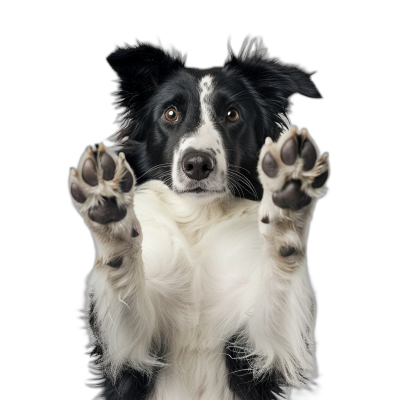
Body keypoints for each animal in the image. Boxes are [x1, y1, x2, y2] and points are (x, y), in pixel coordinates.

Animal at [70, 38, 330, 400]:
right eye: (170, 113)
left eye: (232, 114)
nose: (197, 164)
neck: (198, 218)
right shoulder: (130, 356)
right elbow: (126, 289)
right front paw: (111, 218)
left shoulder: (257, 353)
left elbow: (276, 290)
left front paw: (287, 208)